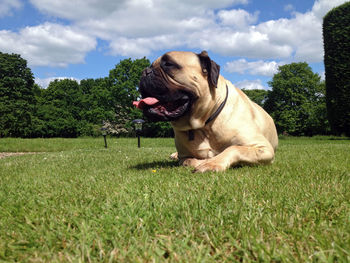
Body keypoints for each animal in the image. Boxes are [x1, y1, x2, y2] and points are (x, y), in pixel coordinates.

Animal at [133, 51, 278, 173]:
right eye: (151, 66)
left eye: (169, 64)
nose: (145, 71)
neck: (205, 124)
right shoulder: (184, 156)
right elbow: (188, 161)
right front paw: (202, 161)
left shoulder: (263, 148)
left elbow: (234, 148)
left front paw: (212, 163)